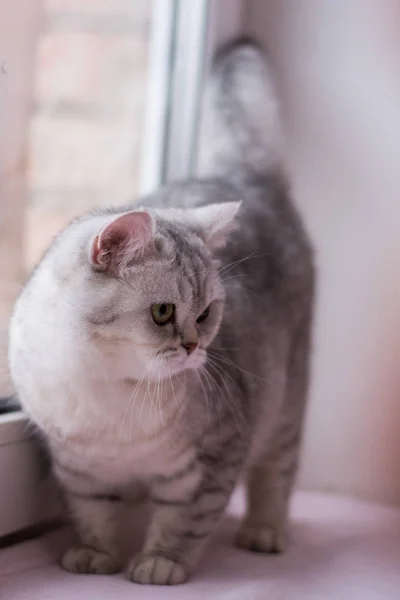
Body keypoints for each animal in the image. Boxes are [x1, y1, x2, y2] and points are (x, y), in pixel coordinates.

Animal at [6, 38, 312, 584]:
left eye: (207, 312)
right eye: (164, 312)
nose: (194, 346)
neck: (105, 394)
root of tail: (238, 173)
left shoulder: (212, 461)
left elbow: (184, 523)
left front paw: (159, 565)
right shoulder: (77, 470)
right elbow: (92, 515)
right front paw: (96, 556)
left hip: (287, 402)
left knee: (278, 472)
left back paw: (264, 532)